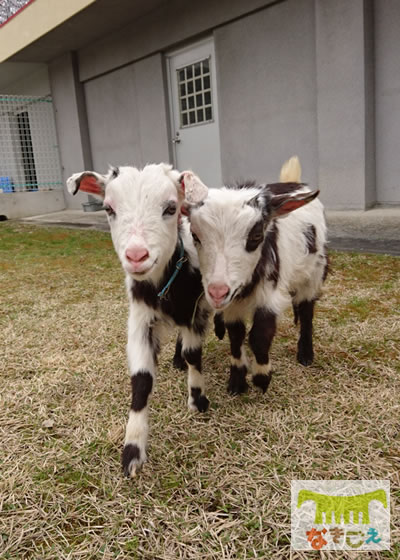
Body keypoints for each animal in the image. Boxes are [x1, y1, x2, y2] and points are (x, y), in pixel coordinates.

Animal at [67, 164, 211, 474]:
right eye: (108, 208)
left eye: (171, 208)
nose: (136, 255)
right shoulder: (140, 319)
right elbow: (142, 378)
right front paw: (132, 450)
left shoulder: (198, 310)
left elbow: (194, 354)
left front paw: (198, 399)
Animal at [184, 155, 328, 396]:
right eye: (195, 235)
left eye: (256, 235)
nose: (217, 292)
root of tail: (292, 182)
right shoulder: (232, 303)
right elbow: (236, 335)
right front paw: (236, 381)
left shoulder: (269, 295)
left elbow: (260, 335)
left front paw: (262, 378)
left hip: (314, 271)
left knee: (307, 308)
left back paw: (306, 355)